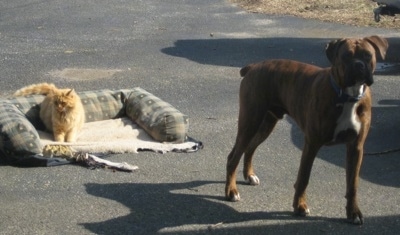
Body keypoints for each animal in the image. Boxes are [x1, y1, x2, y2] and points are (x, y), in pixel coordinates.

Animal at [227, 35, 390, 224]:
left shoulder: (356, 148)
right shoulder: (312, 144)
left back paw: (249, 175)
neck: (347, 96)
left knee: (250, 148)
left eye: (367, 55)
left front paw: (353, 212)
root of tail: (253, 66)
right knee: (233, 156)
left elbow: (353, 184)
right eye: (346, 56)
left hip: (265, 124)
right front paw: (299, 206)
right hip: (250, 122)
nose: (358, 65)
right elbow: (304, 177)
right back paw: (231, 191)